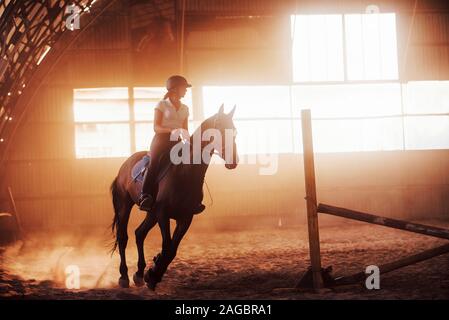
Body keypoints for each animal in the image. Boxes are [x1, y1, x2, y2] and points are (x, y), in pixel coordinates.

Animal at [109, 105, 238, 290]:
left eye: (234, 131)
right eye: (218, 128)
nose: (233, 161)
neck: (185, 172)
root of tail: (124, 165)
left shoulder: (185, 217)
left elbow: (172, 250)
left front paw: (152, 273)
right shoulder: (163, 214)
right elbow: (167, 246)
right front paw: (153, 273)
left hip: (152, 213)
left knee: (139, 233)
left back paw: (139, 274)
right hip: (124, 206)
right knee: (123, 237)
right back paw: (124, 276)